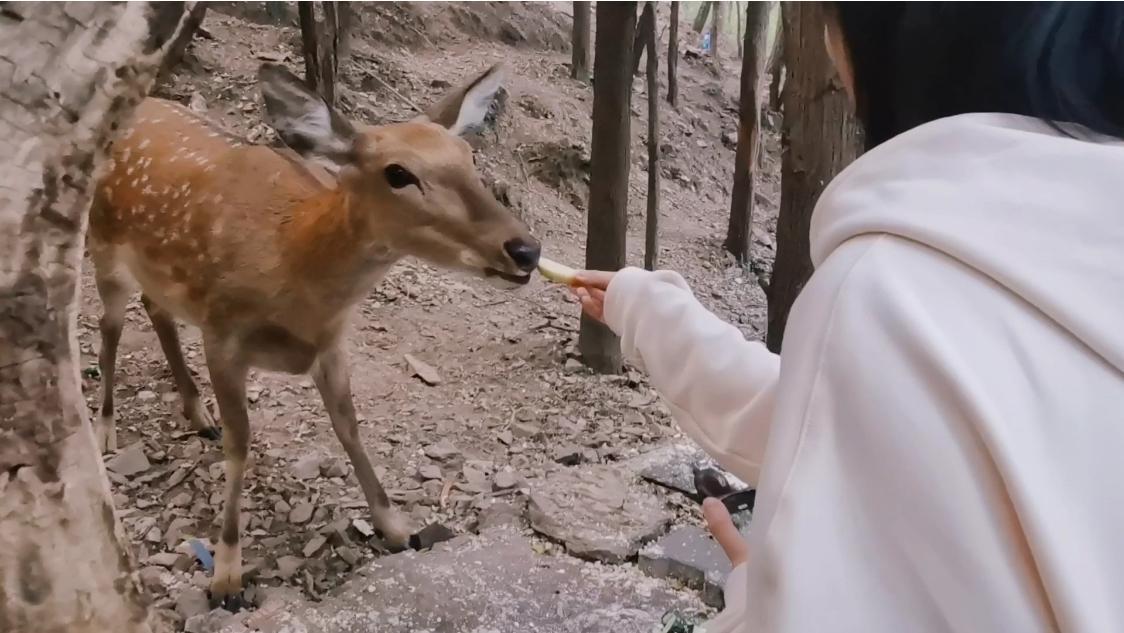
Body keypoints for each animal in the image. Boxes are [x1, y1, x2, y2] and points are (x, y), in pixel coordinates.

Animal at [89, 63, 537, 602]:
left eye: (470, 157)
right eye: (398, 173)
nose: (525, 250)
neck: (293, 262)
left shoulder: (332, 345)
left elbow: (349, 428)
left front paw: (398, 527)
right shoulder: (222, 335)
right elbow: (240, 444)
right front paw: (226, 574)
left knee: (155, 307)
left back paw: (197, 414)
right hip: (102, 246)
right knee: (108, 324)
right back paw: (105, 429)